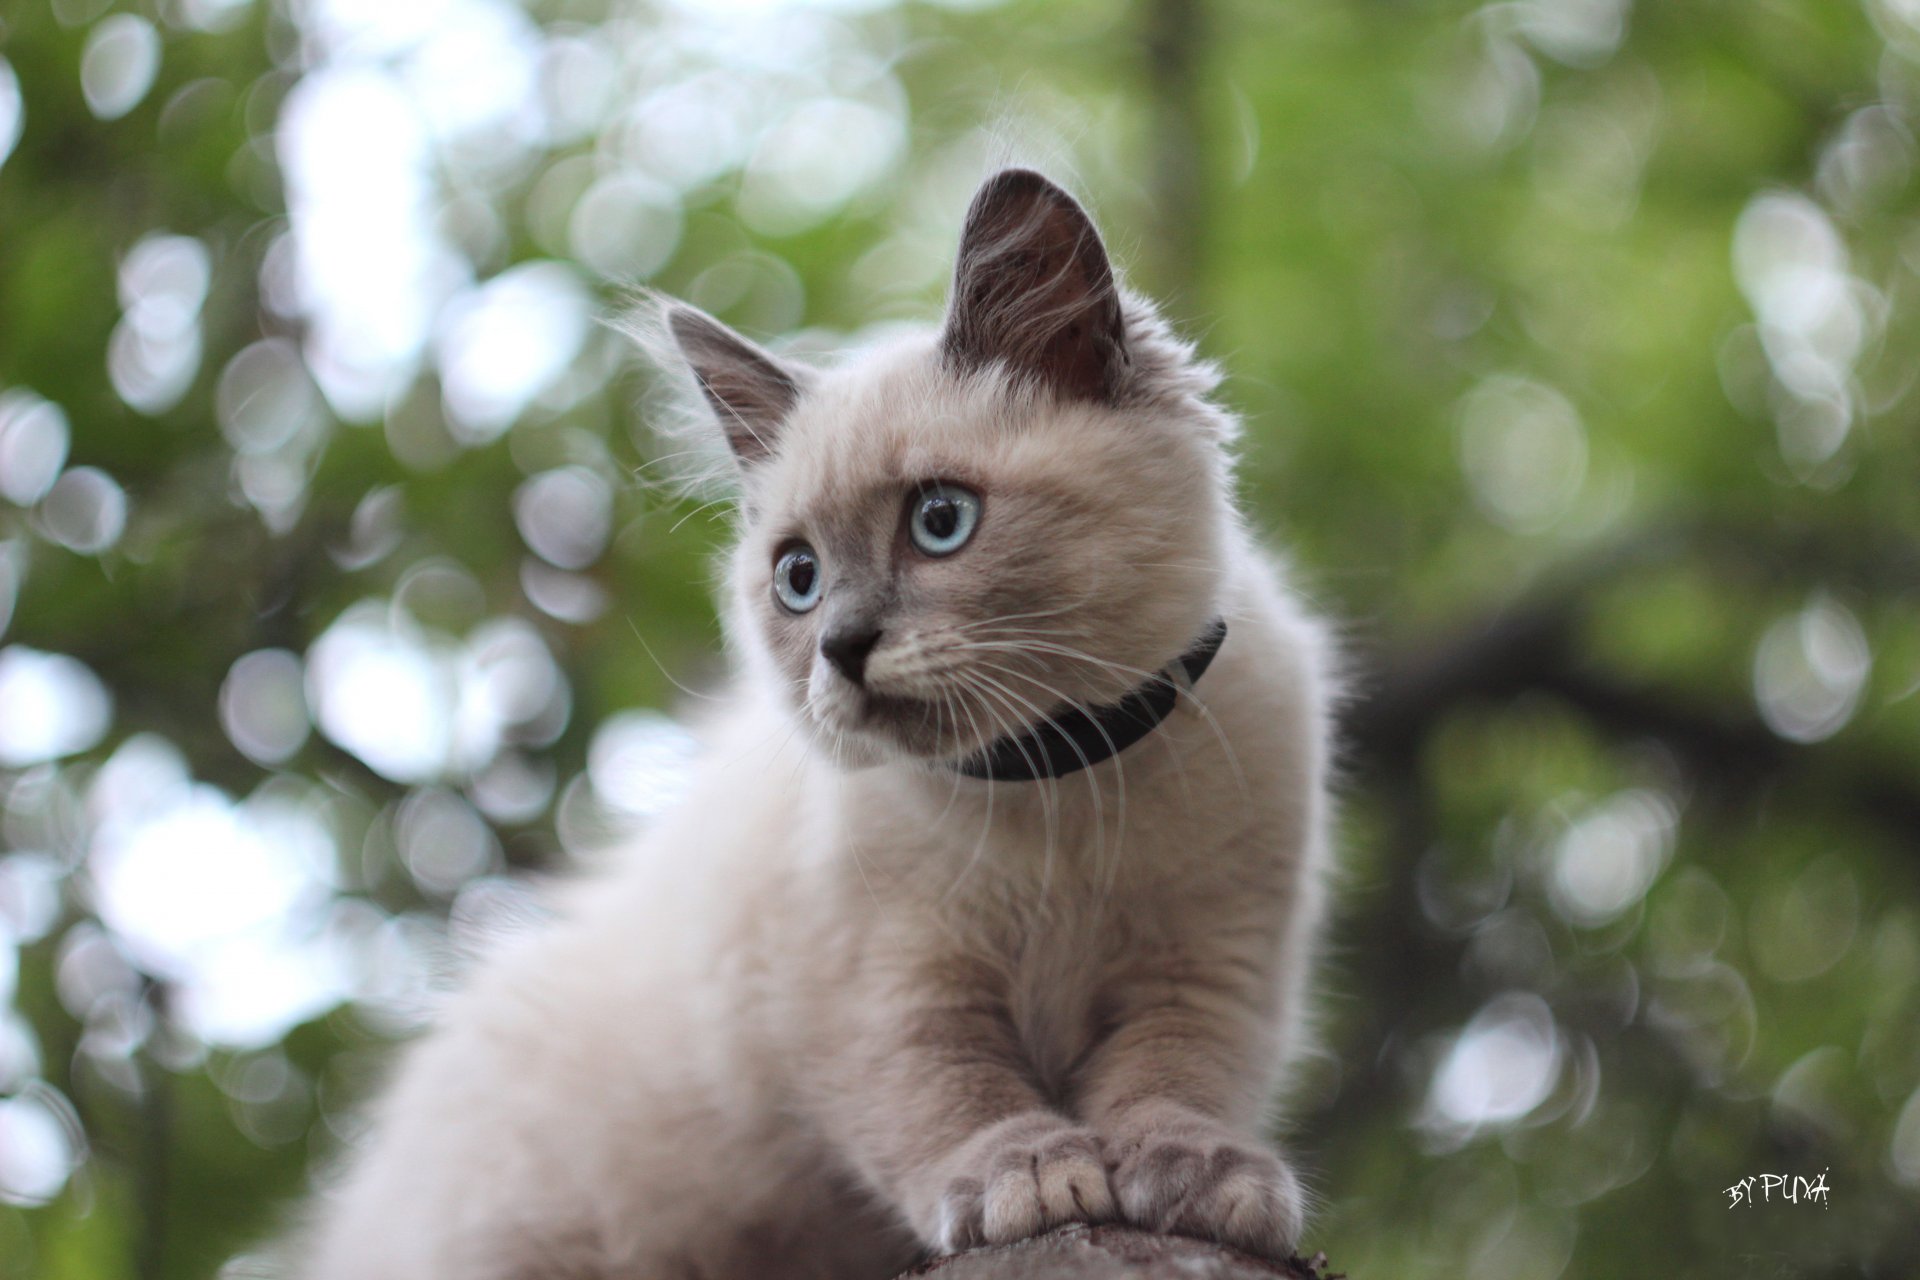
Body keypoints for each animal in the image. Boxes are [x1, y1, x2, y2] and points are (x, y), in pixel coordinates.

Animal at [303, 169, 1351, 1280]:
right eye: (798, 579)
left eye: (941, 521)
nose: (844, 648)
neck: (1058, 784)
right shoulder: (876, 991)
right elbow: (950, 1095)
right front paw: (1028, 1176)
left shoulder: (1208, 965)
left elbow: (1175, 1080)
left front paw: (1199, 1179)